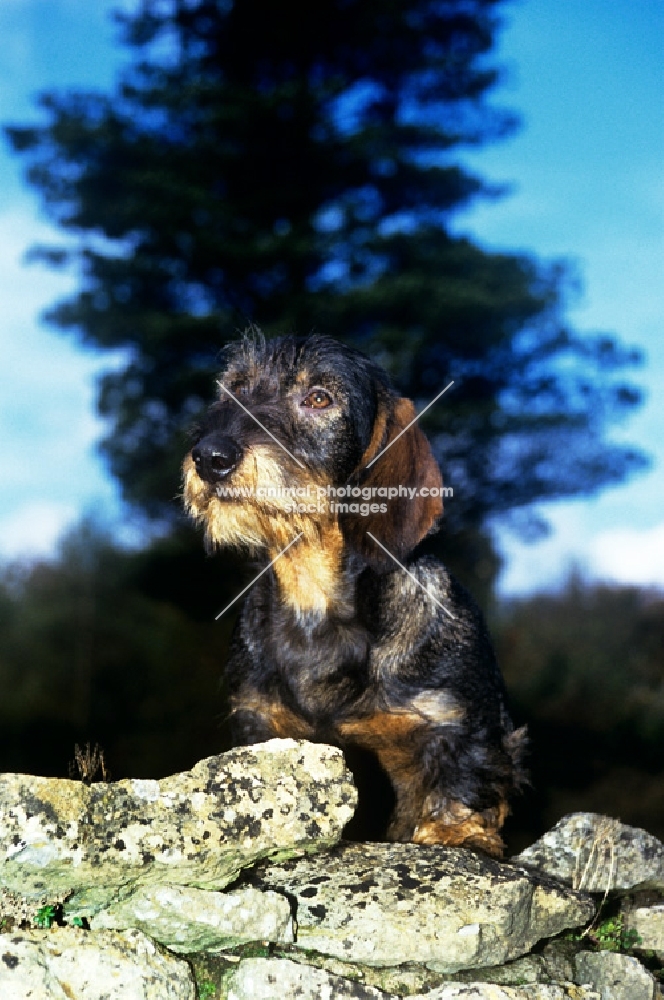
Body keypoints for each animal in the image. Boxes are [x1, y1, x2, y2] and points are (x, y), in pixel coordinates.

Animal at [184, 332, 528, 856]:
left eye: (319, 398)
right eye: (235, 388)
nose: (210, 457)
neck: (314, 598)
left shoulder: (457, 717)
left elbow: (465, 769)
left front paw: (454, 830)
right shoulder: (259, 721)